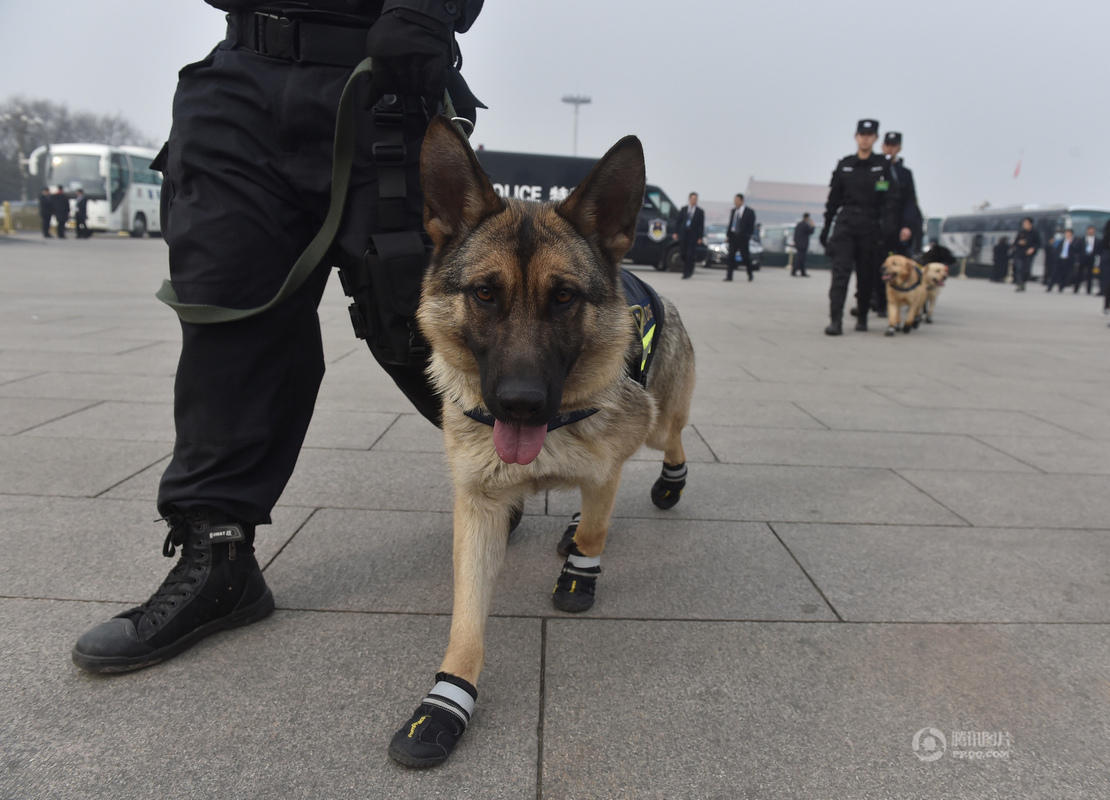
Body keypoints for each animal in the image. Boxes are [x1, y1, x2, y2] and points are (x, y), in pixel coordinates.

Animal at [388, 118, 692, 767]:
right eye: (484, 294)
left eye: (564, 297)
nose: (521, 404)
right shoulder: (478, 507)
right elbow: (467, 618)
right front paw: (444, 703)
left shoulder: (606, 465)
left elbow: (598, 528)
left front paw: (580, 574)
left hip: (658, 422)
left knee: (670, 439)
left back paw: (669, 484)